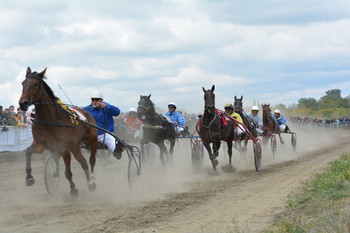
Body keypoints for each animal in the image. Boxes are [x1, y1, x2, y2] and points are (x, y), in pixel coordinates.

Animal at [19, 67, 98, 195]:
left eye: (36, 84)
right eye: (23, 83)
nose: (23, 103)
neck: (50, 120)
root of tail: (87, 113)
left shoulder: (63, 149)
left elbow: (68, 173)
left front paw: (73, 189)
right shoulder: (41, 144)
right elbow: (28, 152)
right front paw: (29, 177)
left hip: (92, 139)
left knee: (91, 161)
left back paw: (92, 182)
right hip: (75, 146)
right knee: (84, 163)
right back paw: (89, 183)